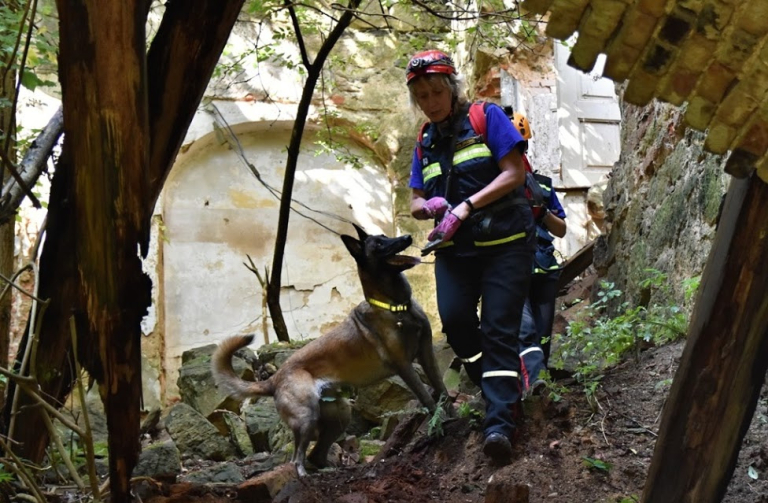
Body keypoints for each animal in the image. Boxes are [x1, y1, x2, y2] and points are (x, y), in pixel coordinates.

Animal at [213, 223, 448, 476]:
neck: (395, 307)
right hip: (307, 417)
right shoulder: (404, 366)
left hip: (340, 414)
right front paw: (441, 425)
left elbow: (442, 391)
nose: (407, 237)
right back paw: (305, 476)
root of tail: (274, 378)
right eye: (378, 244)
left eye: (384, 236)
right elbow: (428, 399)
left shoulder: (426, 355)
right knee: (297, 458)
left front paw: (454, 419)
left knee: (315, 455)